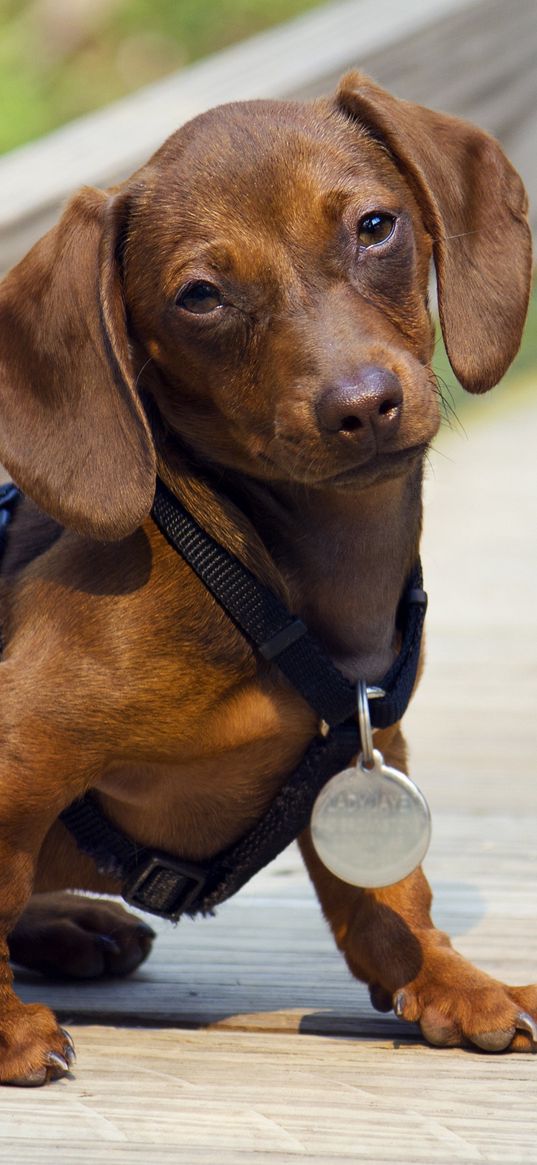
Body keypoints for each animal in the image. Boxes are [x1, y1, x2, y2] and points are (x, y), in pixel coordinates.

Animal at [0, 72, 531, 1085]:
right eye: (200, 296)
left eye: (374, 226)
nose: (363, 405)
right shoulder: (22, 743)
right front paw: (6, 1028)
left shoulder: (371, 742)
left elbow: (389, 896)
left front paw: (449, 979)